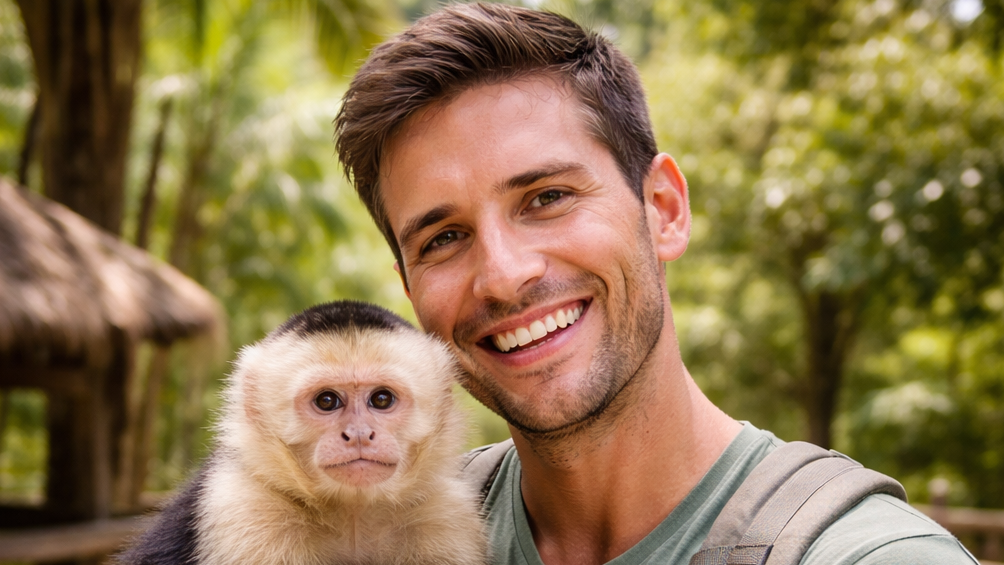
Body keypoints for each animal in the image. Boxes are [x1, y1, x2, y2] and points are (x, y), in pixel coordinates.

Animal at [117, 300, 487, 565]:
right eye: (327, 401)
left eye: (381, 399)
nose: (358, 434)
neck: (353, 516)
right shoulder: (240, 511)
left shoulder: (444, 516)